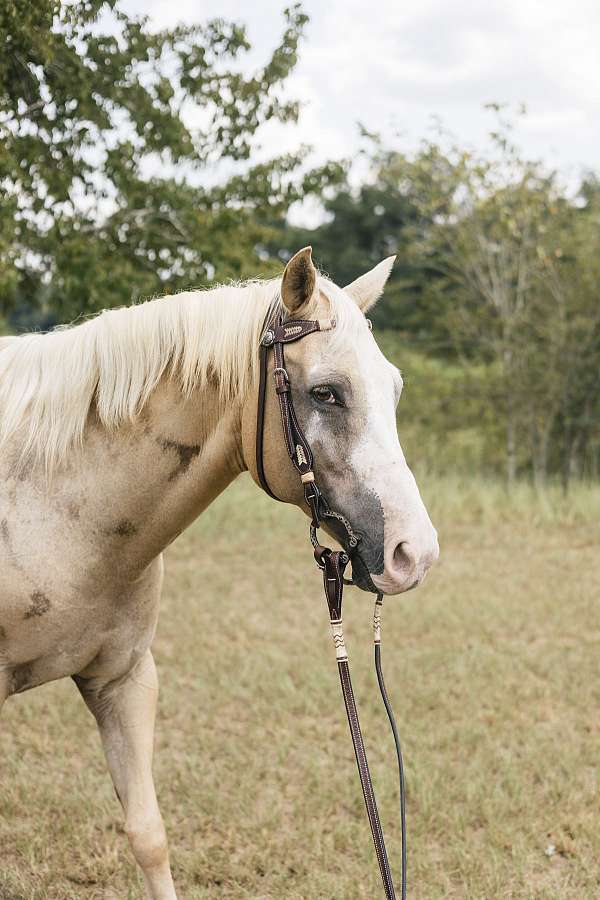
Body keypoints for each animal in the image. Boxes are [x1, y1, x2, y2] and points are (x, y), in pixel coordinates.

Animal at [0, 247, 439, 899]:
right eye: (327, 393)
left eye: (395, 388)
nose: (416, 553)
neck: (52, 510)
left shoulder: (123, 681)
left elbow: (149, 836)